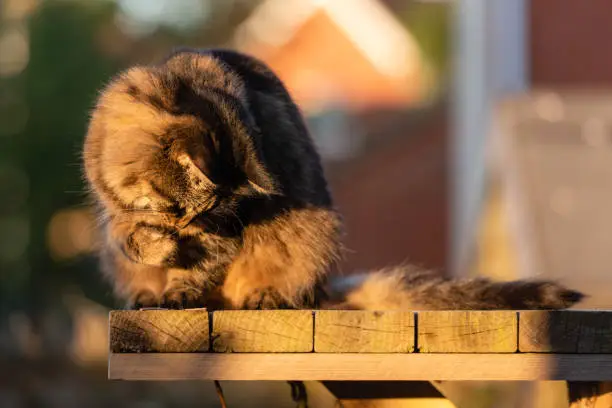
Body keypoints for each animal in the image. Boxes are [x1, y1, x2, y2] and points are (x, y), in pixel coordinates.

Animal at [81, 48, 584, 312]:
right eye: (188, 211)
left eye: (213, 216)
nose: (193, 229)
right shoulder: (113, 217)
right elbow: (131, 241)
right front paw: (159, 252)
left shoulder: (231, 228)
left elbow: (202, 264)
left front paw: (181, 281)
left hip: (314, 235)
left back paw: (264, 295)